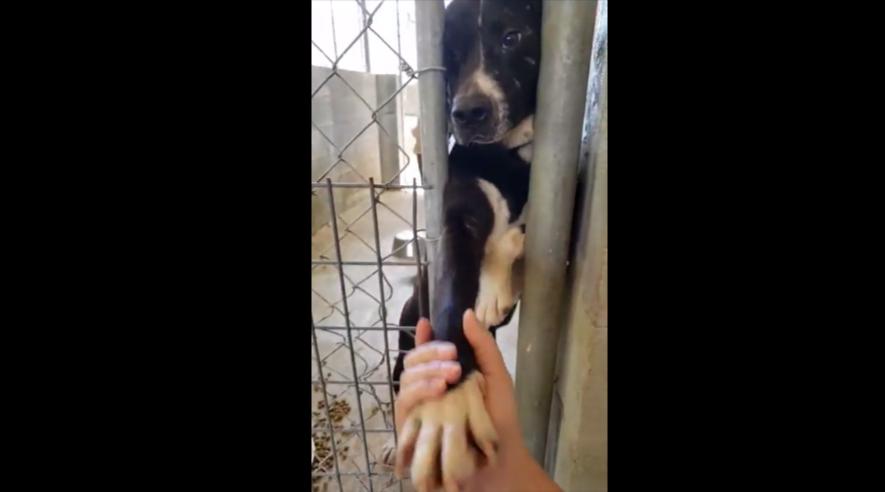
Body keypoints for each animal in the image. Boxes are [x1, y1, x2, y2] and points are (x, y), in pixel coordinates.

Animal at [381, 1, 544, 489]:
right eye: (448, 55)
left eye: (512, 37)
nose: (468, 112)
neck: (507, 160)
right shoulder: (457, 216)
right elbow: (456, 299)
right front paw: (446, 409)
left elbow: (517, 236)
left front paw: (498, 282)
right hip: (405, 341)